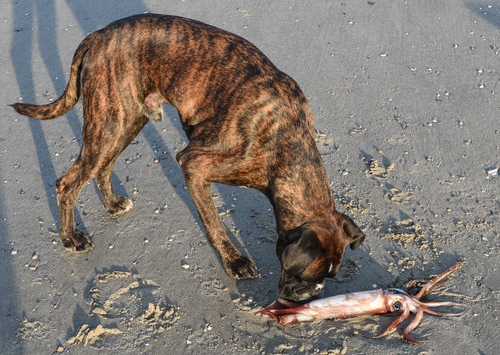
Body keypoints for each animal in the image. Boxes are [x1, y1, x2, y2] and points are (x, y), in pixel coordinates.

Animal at [12, 13, 364, 304]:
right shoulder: (194, 165)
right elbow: (214, 222)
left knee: (103, 166)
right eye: (303, 274)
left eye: (329, 278)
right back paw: (70, 238)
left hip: (126, 121)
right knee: (68, 182)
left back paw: (111, 204)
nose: (308, 298)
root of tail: (98, 35)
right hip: (111, 124)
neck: (288, 143)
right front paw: (234, 261)